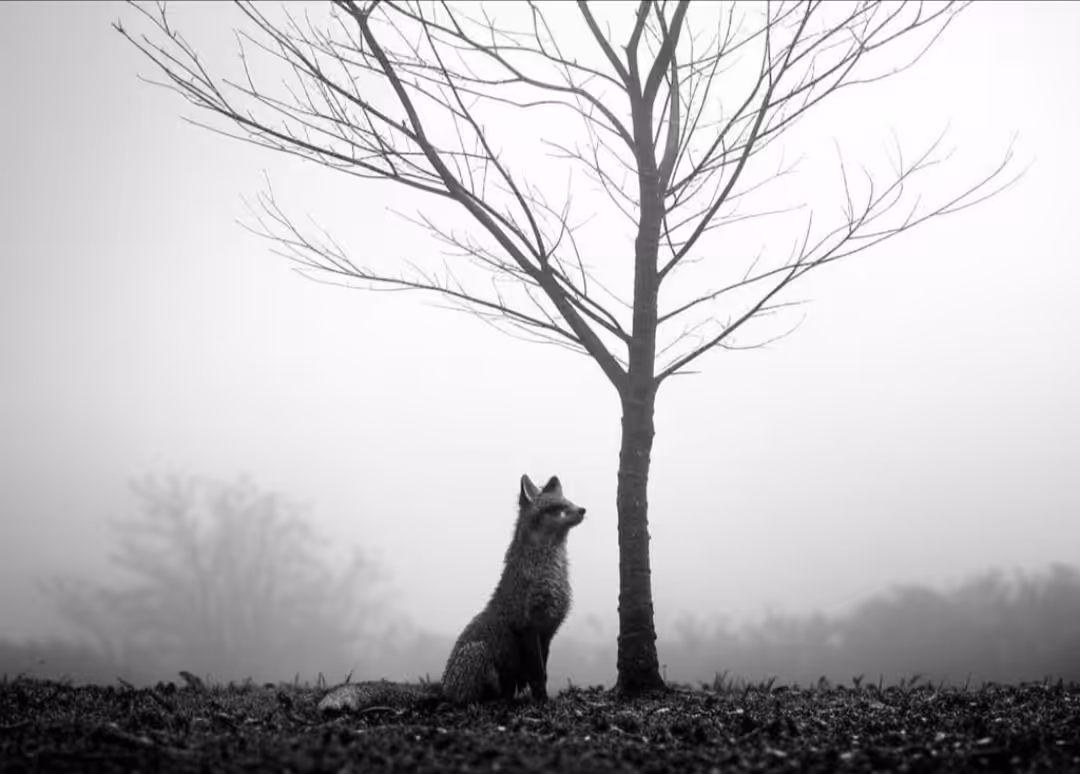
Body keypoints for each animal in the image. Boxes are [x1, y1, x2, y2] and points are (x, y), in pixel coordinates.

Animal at [318, 474, 586, 712]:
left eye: (569, 502)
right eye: (557, 508)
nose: (583, 509)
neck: (549, 574)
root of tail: (444, 683)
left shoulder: (548, 631)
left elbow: (544, 674)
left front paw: (543, 700)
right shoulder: (528, 628)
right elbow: (538, 676)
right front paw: (542, 703)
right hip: (479, 653)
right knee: (465, 701)